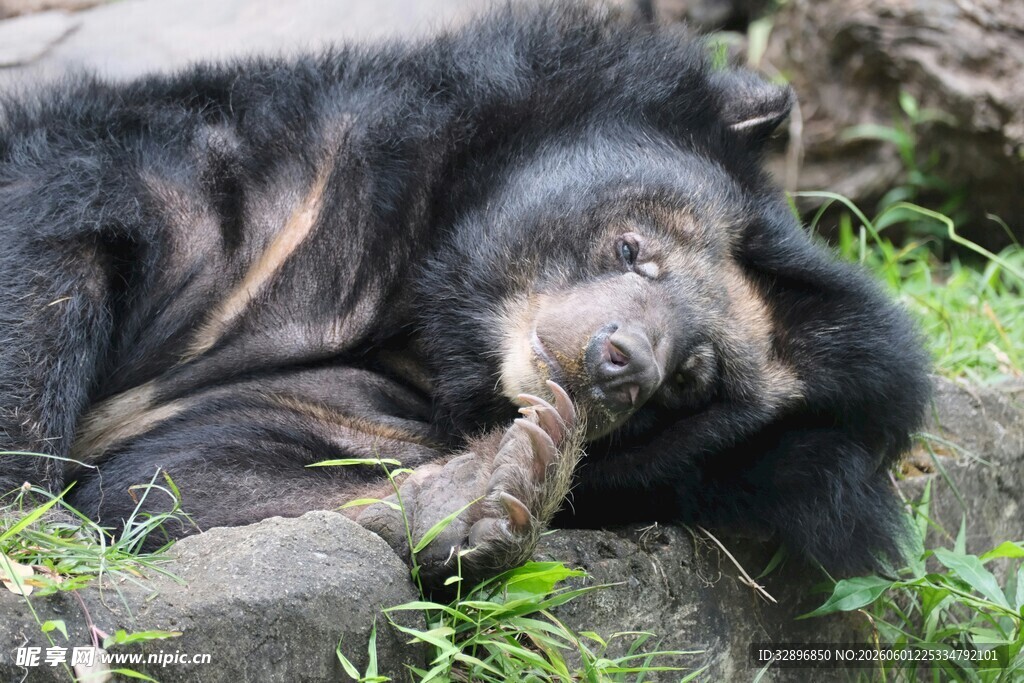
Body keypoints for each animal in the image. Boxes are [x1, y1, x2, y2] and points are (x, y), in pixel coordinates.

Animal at [0, 2, 930, 588]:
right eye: (634, 250)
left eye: (694, 380)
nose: (619, 361)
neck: (419, 321)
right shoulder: (256, 177)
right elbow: (49, 239)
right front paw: (27, 518)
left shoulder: (359, 409)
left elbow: (178, 480)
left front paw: (504, 481)